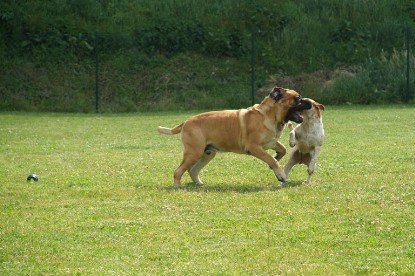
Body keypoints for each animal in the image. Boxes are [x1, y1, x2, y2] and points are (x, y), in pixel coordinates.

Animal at [159, 87, 308, 187]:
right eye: (297, 99)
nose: (307, 101)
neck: (270, 115)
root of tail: (186, 122)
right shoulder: (254, 147)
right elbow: (271, 159)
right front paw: (280, 175)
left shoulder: (270, 142)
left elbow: (281, 150)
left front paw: (277, 157)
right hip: (193, 152)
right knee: (178, 171)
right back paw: (178, 186)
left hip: (206, 153)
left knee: (192, 170)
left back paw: (199, 184)